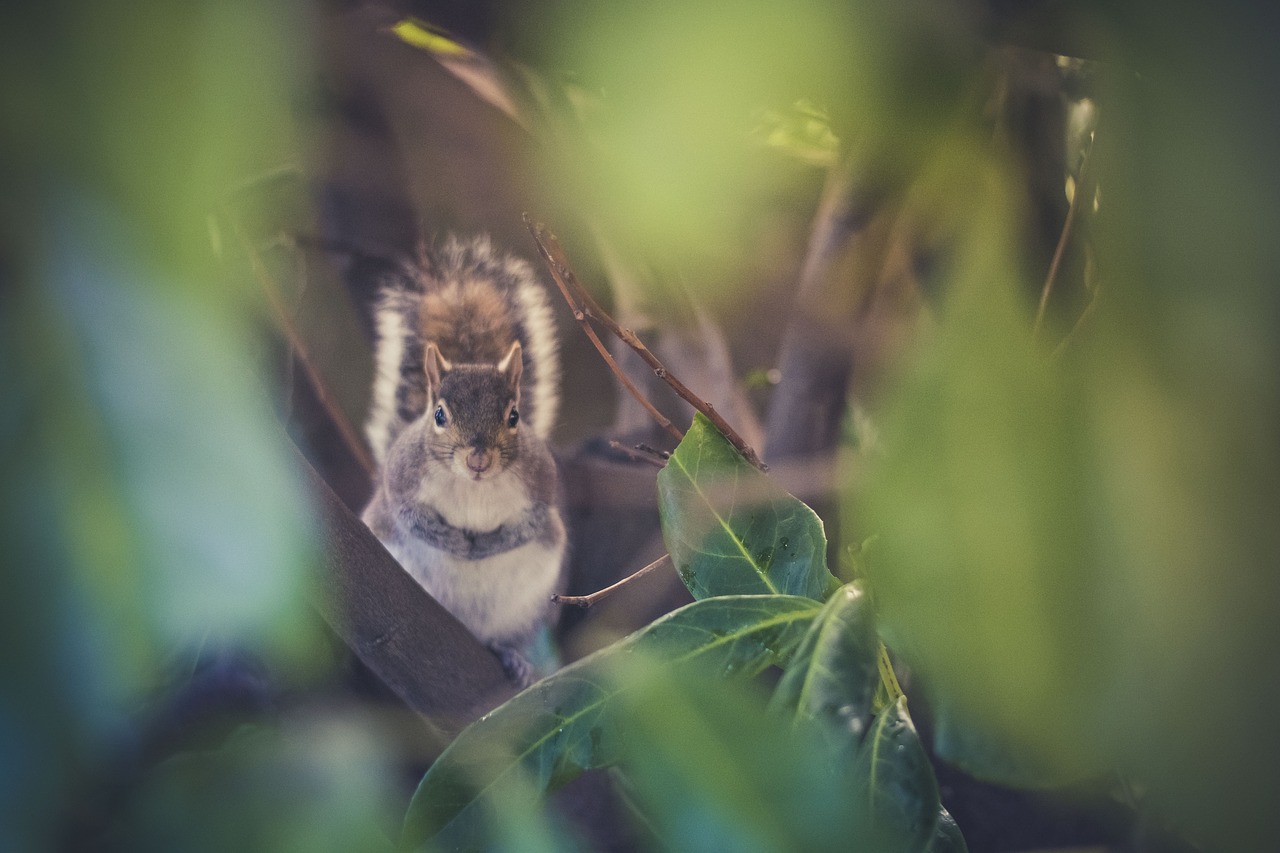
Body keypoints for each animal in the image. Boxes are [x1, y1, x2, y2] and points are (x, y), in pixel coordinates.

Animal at [358, 233, 563, 686]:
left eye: (514, 416)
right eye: (439, 415)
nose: (478, 460)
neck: (473, 486)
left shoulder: (541, 485)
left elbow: (528, 525)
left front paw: (485, 547)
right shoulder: (401, 482)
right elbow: (410, 518)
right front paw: (452, 541)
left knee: (504, 637)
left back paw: (513, 657)